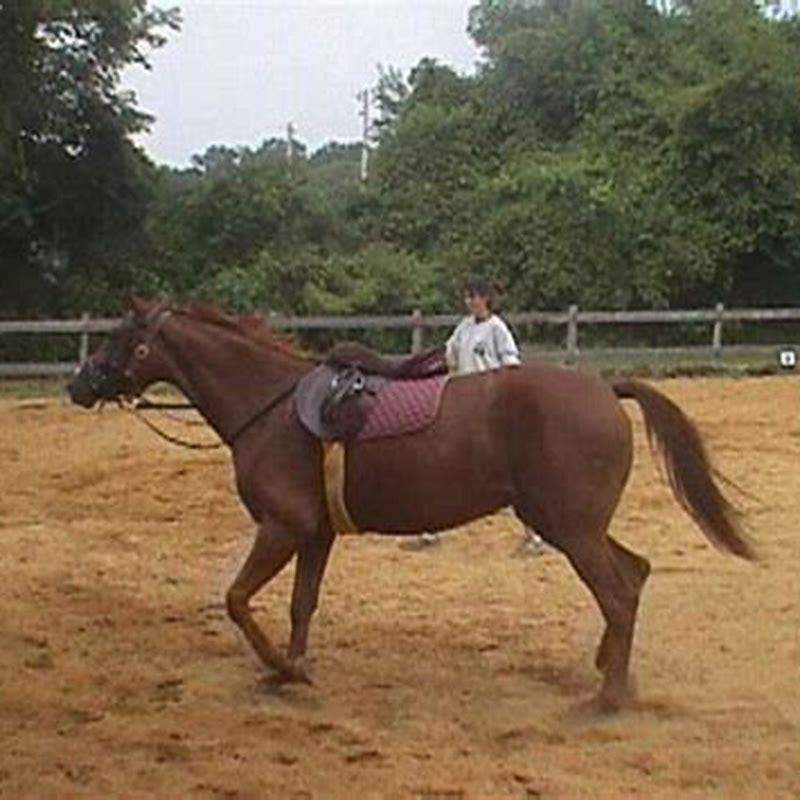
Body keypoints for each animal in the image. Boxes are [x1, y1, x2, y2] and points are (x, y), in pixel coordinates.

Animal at [67, 298, 754, 712]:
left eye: (122, 336)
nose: (77, 384)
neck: (272, 406)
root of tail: (604, 389)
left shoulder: (283, 527)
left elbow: (238, 599)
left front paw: (282, 668)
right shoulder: (315, 534)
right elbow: (300, 604)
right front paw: (292, 670)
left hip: (569, 529)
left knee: (617, 591)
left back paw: (606, 700)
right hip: (574, 524)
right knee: (634, 575)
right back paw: (612, 671)